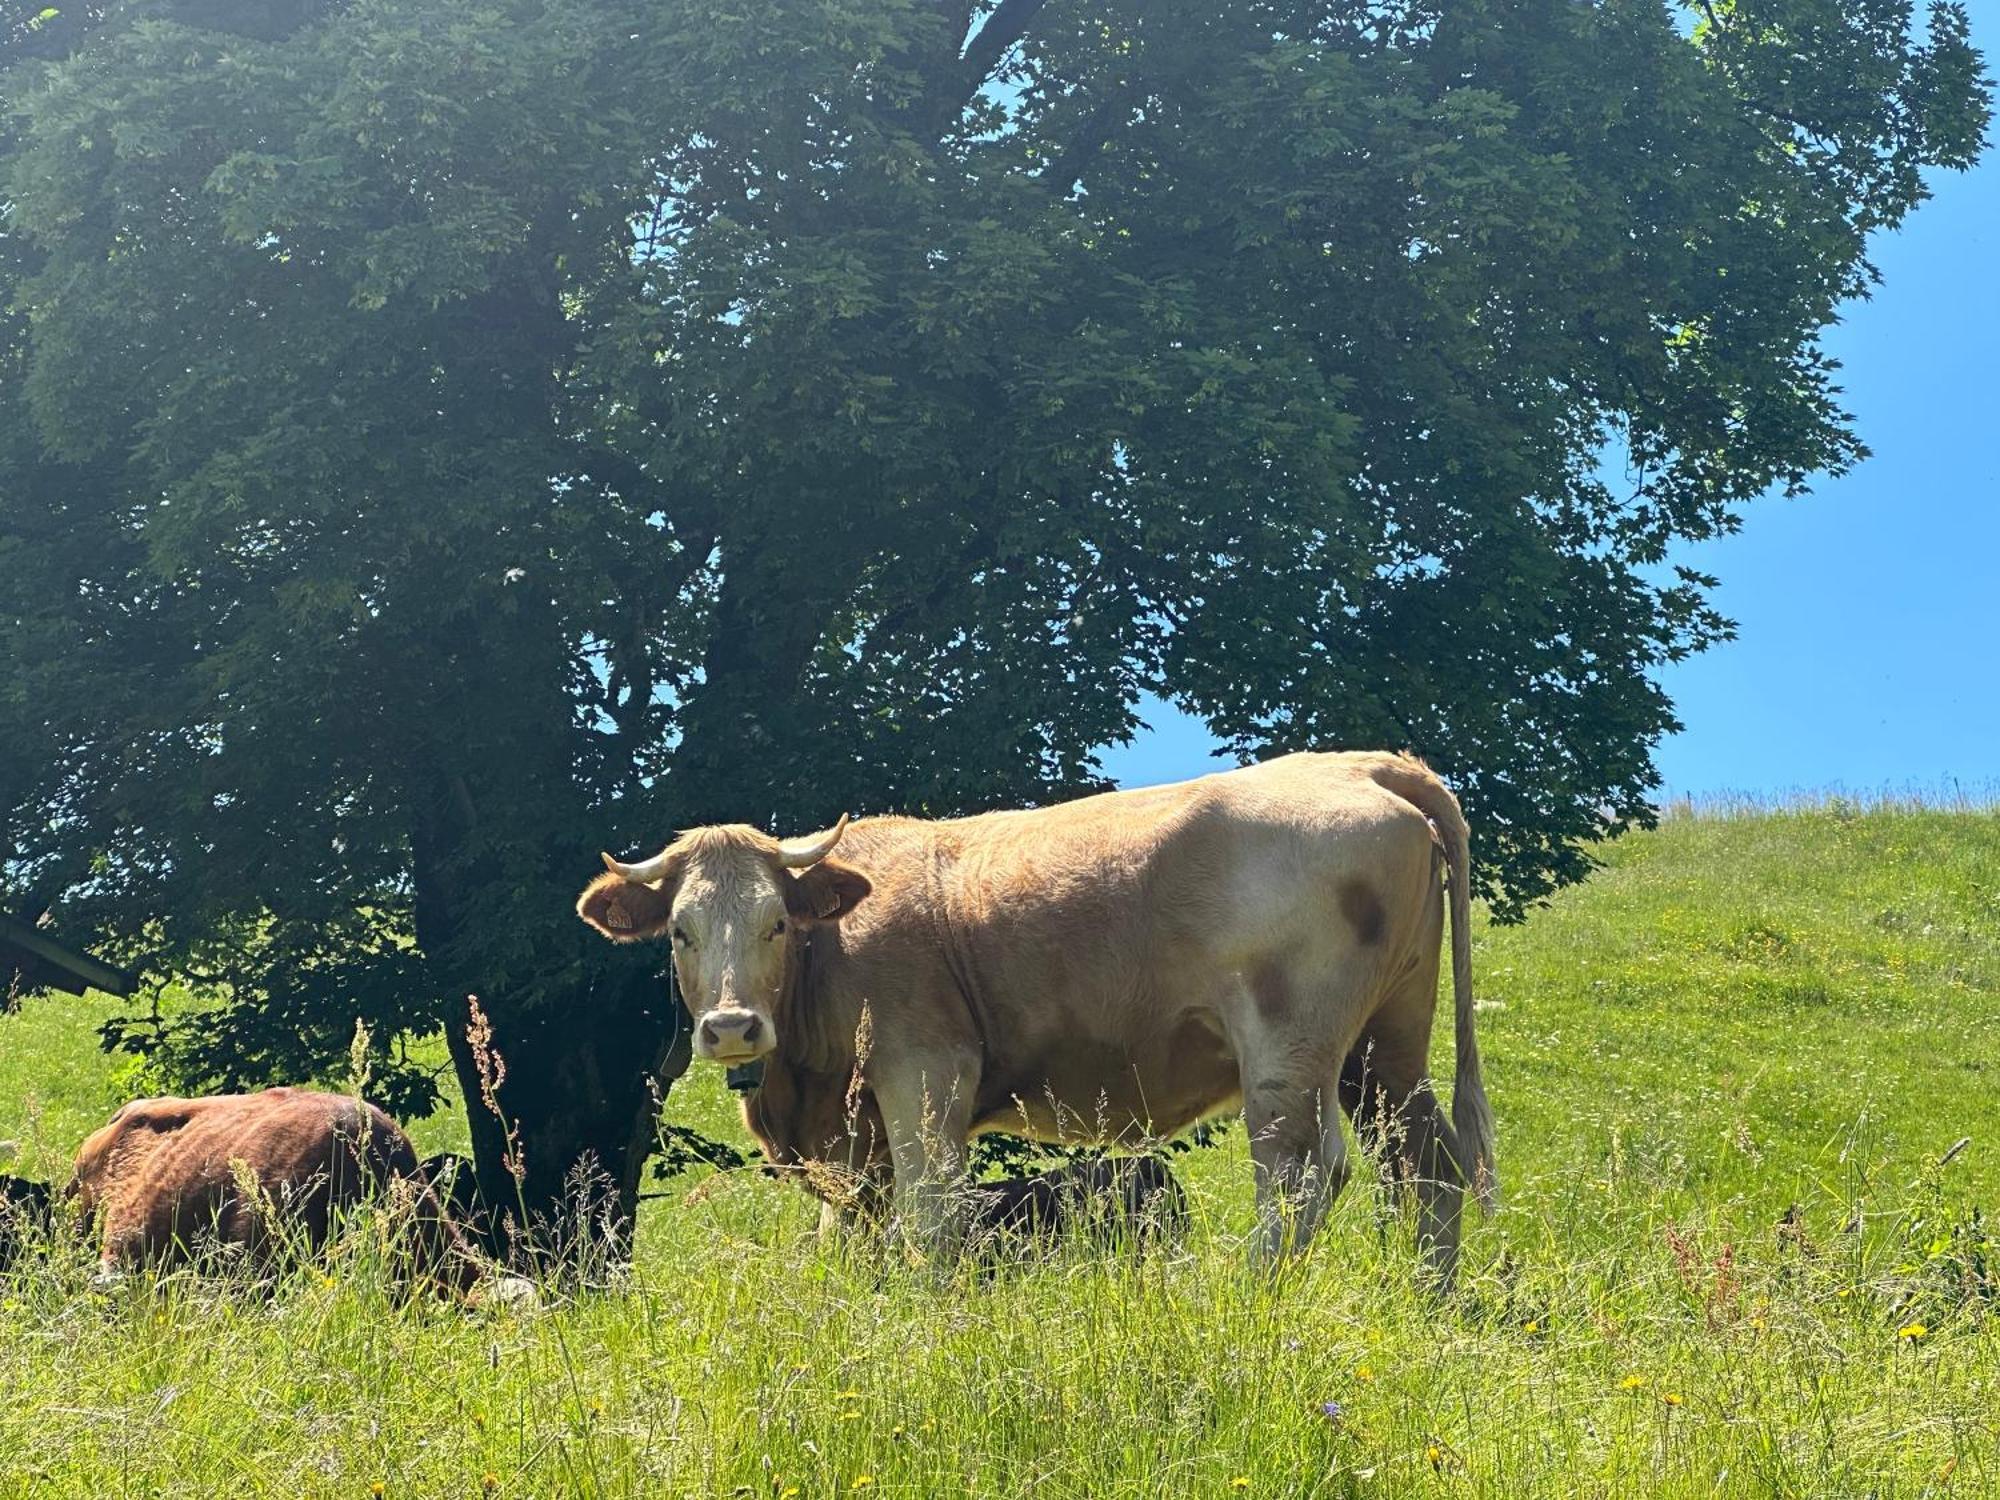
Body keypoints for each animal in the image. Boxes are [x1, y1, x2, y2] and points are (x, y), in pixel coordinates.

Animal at [572, 752, 1496, 1280]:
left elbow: (932, 1214)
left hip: (1290, 1052)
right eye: (680, 931)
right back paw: (1432, 1302)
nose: (732, 1027)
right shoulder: (856, 1139)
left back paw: (1246, 1296)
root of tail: (1363, 764)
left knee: (1302, 1177)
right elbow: (855, 1233)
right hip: (1383, 1048)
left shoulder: (926, 1071)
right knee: (1429, 1166)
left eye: (776, 923)